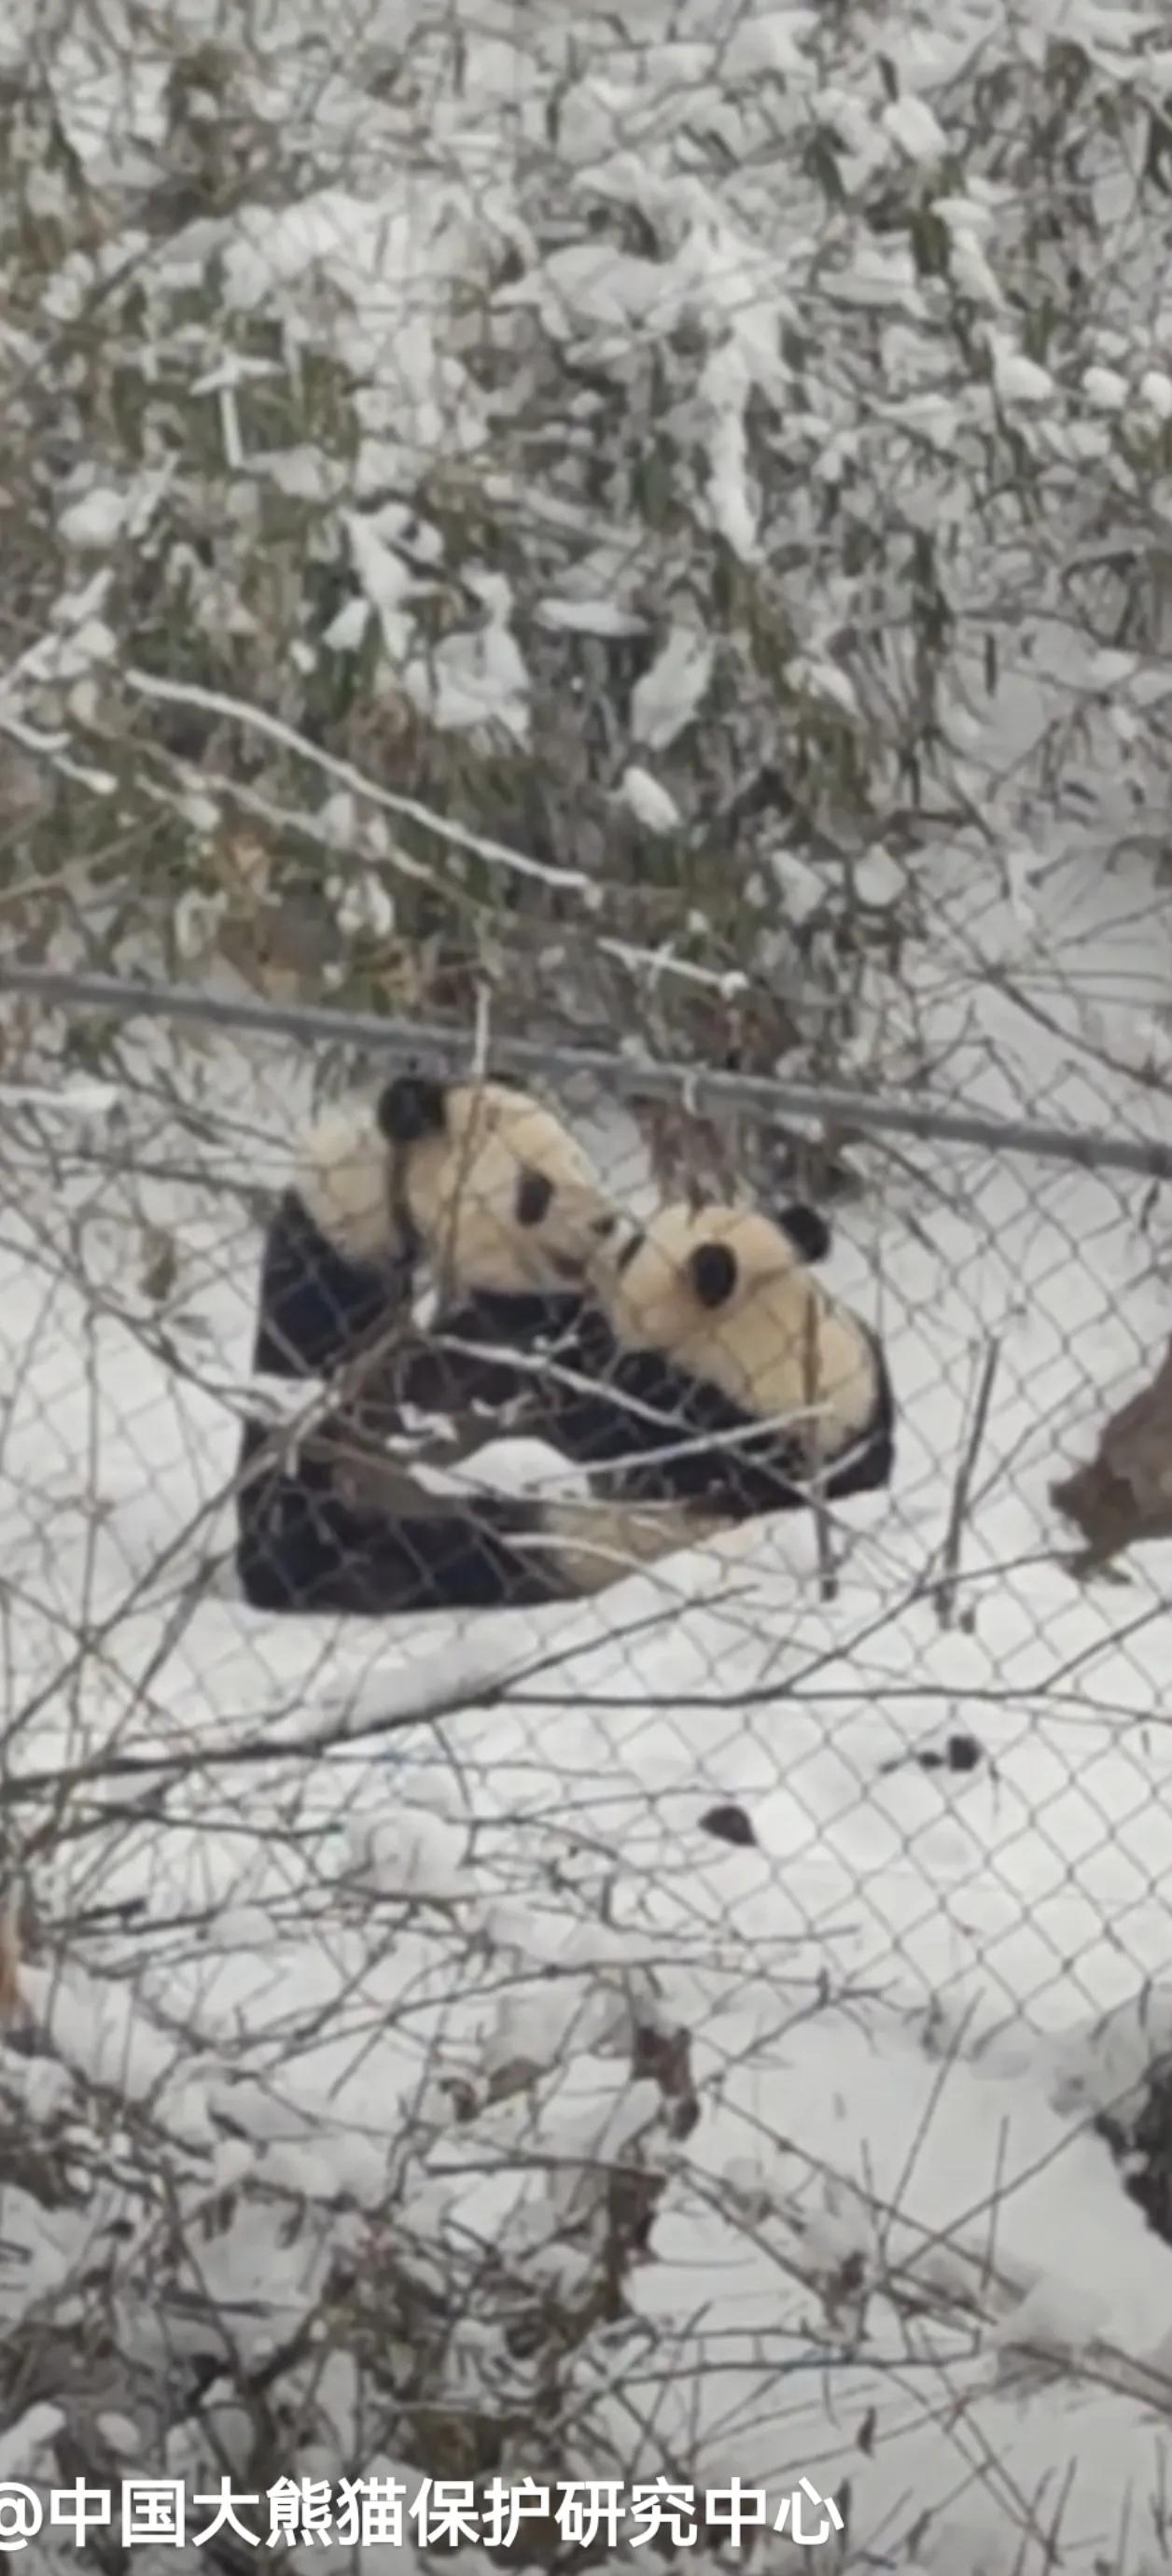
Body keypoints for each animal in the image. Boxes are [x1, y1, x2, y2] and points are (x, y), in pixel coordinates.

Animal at [234, 1195, 896, 1617]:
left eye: (631, 1248)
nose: (599, 1240)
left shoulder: (688, 1428)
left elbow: (591, 1411)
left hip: (533, 1543)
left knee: (393, 1552)